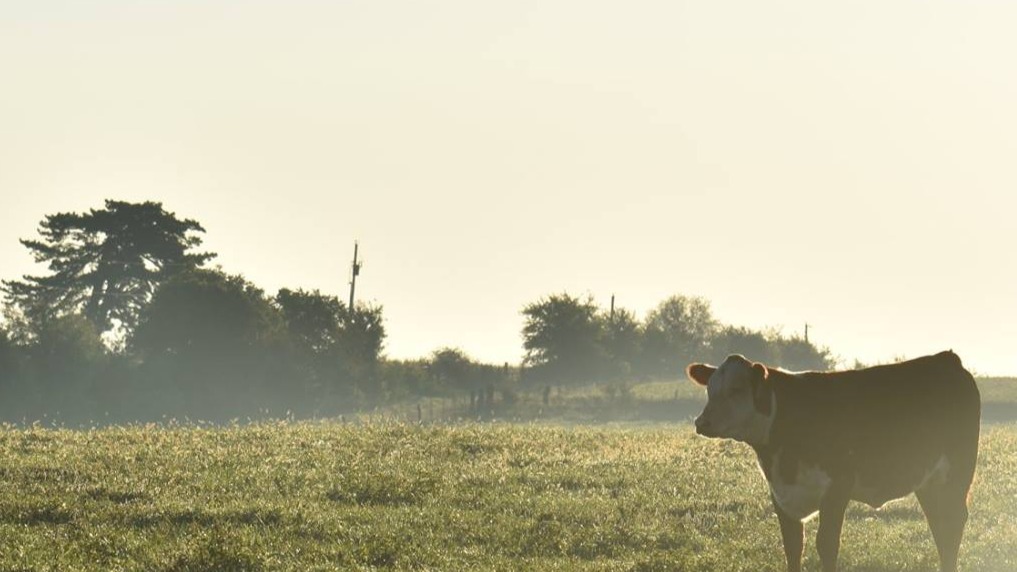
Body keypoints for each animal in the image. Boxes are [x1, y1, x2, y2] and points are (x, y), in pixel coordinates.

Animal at [687, 350, 980, 569]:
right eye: (710, 389)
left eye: (737, 389)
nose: (702, 422)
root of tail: (946, 358)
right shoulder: (781, 494)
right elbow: (792, 546)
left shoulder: (838, 485)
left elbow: (826, 545)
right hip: (929, 481)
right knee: (939, 525)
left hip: (957, 475)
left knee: (951, 525)